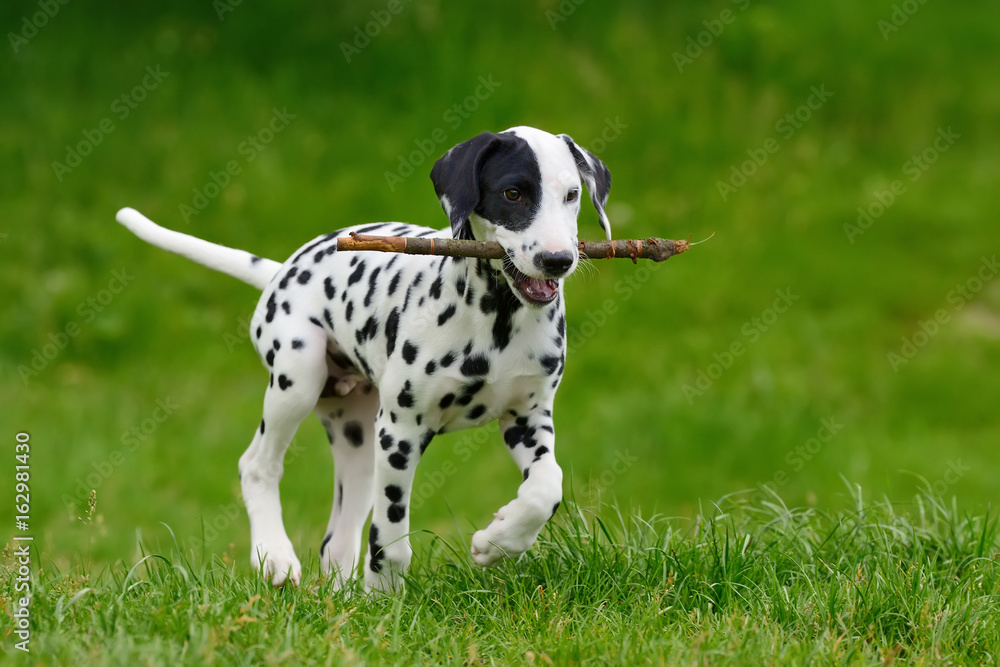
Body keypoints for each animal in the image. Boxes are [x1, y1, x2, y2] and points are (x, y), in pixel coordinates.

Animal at [120, 125, 612, 588]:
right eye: (513, 193)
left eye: (572, 195)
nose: (558, 260)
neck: (497, 321)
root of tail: (282, 269)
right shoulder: (401, 432)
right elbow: (390, 530)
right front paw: (387, 591)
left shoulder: (528, 418)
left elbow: (547, 487)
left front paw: (500, 541)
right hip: (299, 380)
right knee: (258, 466)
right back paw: (275, 556)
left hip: (357, 438)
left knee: (336, 540)